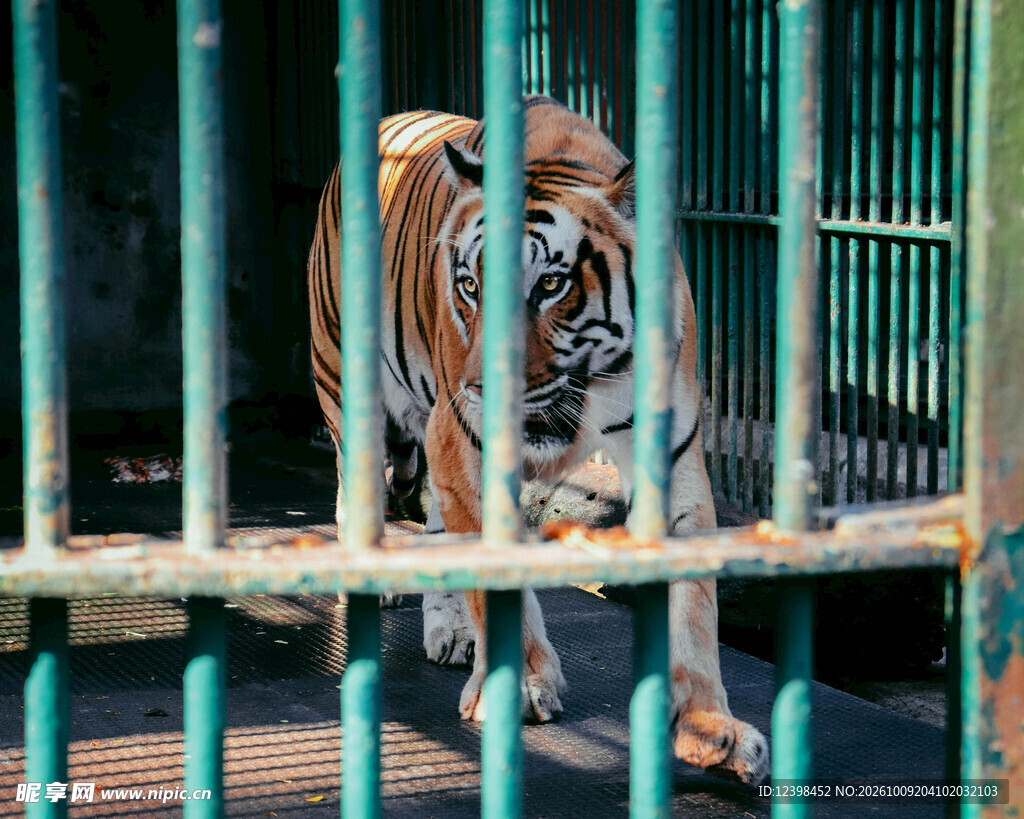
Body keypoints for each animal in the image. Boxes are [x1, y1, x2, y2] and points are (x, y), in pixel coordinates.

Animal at [308, 96, 768, 784]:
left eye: (551, 285)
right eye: (470, 286)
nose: (477, 387)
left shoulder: (674, 455)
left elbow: (694, 603)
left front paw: (710, 726)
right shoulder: (461, 442)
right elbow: (496, 578)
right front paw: (518, 687)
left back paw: (452, 631)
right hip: (347, 385)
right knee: (354, 489)